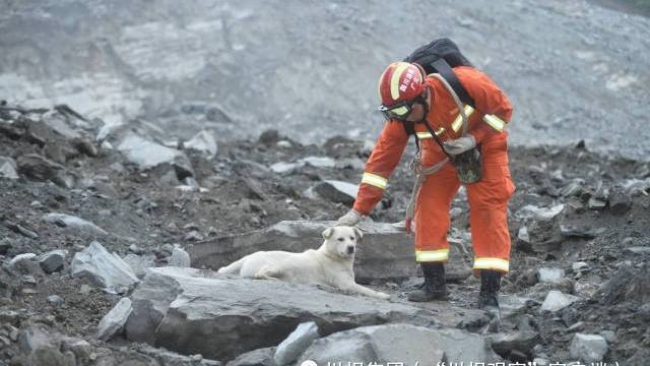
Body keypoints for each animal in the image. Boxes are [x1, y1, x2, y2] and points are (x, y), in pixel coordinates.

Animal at [218, 226, 390, 300]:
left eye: (352, 238)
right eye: (340, 239)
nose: (351, 248)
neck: (333, 256)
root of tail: (248, 256)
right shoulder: (345, 283)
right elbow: (366, 289)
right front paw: (382, 295)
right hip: (283, 264)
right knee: (260, 274)